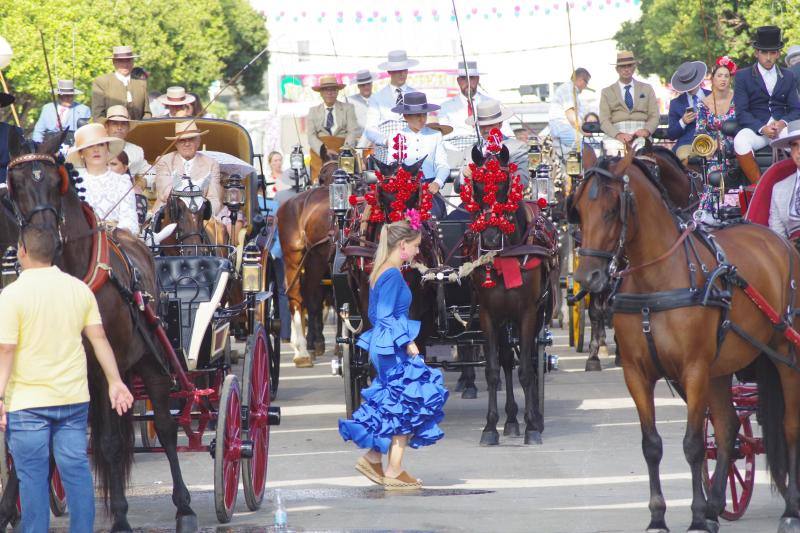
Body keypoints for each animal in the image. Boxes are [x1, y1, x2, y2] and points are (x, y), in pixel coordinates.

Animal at [466, 142, 560, 444]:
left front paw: (532, 426)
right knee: (507, 360)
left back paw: (533, 418)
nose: (491, 237)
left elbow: (527, 370)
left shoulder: (528, 313)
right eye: (476, 185)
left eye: (505, 183)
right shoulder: (488, 315)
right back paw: (510, 420)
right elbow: (494, 370)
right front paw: (490, 427)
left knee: (528, 360)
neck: (506, 255)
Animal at [568, 151, 800, 532]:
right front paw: (659, 516)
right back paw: (718, 505)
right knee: (728, 428)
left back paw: (790, 509)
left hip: (785, 353)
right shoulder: (637, 373)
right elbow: (652, 445)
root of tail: (778, 242)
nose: (589, 277)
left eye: (613, 209)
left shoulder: (693, 370)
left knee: (789, 426)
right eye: (578, 208)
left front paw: (695, 517)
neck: (655, 282)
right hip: (722, 367)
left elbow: (692, 445)